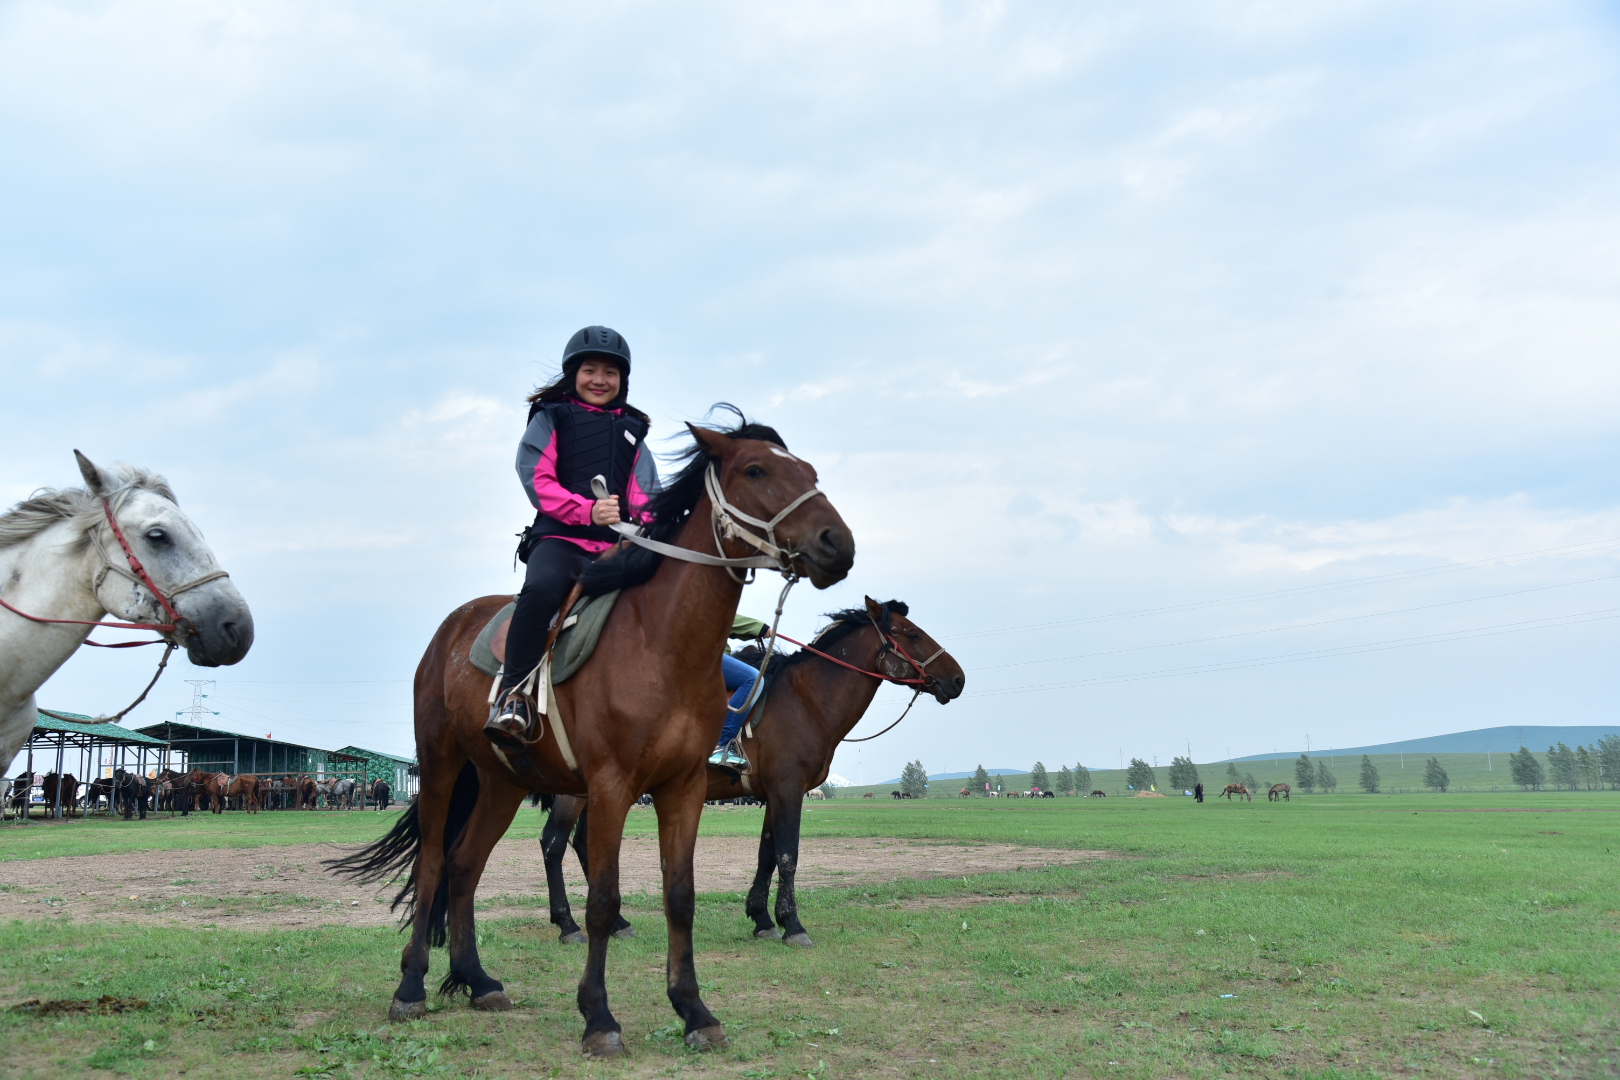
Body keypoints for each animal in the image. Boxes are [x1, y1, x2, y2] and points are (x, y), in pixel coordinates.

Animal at [332, 417, 861, 1062]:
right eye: (756, 470)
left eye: (809, 471)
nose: (838, 544)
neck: (662, 644)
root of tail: (450, 631)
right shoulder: (612, 787)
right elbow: (604, 901)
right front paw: (599, 1017)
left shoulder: (682, 788)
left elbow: (680, 896)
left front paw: (694, 1011)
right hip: (440, 766)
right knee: (435, 861)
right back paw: (411, 987)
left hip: (502, 783)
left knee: (464, 864)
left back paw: (477, 979)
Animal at [537, 605, 959, 952]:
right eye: (911, 633)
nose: (958, 679)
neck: (805, 700)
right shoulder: (789, 791)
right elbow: (788, 855)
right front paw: (793, 926)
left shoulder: (773, 793)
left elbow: (767, 855)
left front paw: (762, 919)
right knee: (554, 843)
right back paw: (569, 925)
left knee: (584, 844)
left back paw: (617, 923)